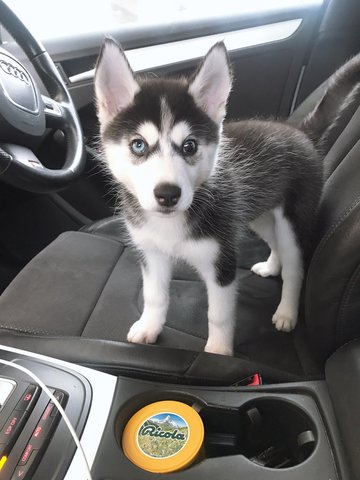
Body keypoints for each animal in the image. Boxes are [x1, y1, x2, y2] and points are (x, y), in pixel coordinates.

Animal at [95, 40, 360, 356]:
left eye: (189, 146)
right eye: (138, 145)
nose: (168, 195)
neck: (171, 223)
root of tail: (301, 131)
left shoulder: (222, 262)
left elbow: (218, 315)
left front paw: (219, 352)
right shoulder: (152, 253)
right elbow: (155, 296)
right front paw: (149, 327)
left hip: (293, 220)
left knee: (295, 268)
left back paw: (287, 311)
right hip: (258, 215)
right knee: (275, 244)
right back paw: (271, 266)